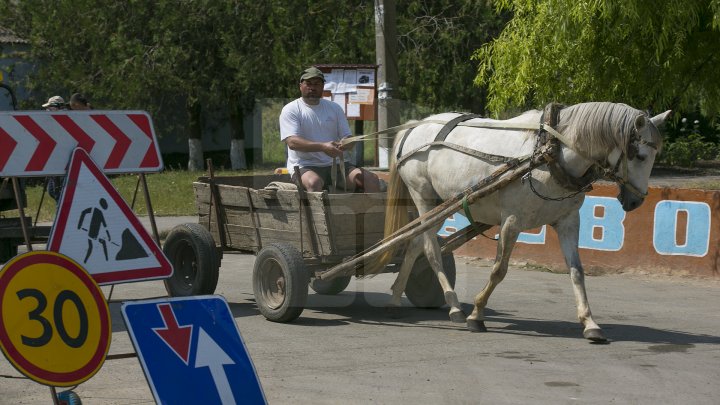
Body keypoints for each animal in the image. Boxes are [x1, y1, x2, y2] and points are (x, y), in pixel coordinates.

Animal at [372, 102, 668, 340]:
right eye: (640, 156)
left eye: (654, 156)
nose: (636, 201)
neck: (550, 154)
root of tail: (414, 126)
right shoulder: (512, 221)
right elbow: (498, 270)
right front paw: (476, 315)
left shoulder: (568, 222)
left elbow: (577, 272)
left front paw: (590, 323)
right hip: (423, 196)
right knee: (431, 249)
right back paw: (454, 306)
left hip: (439, 205)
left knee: (414, 244)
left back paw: (396, 298)